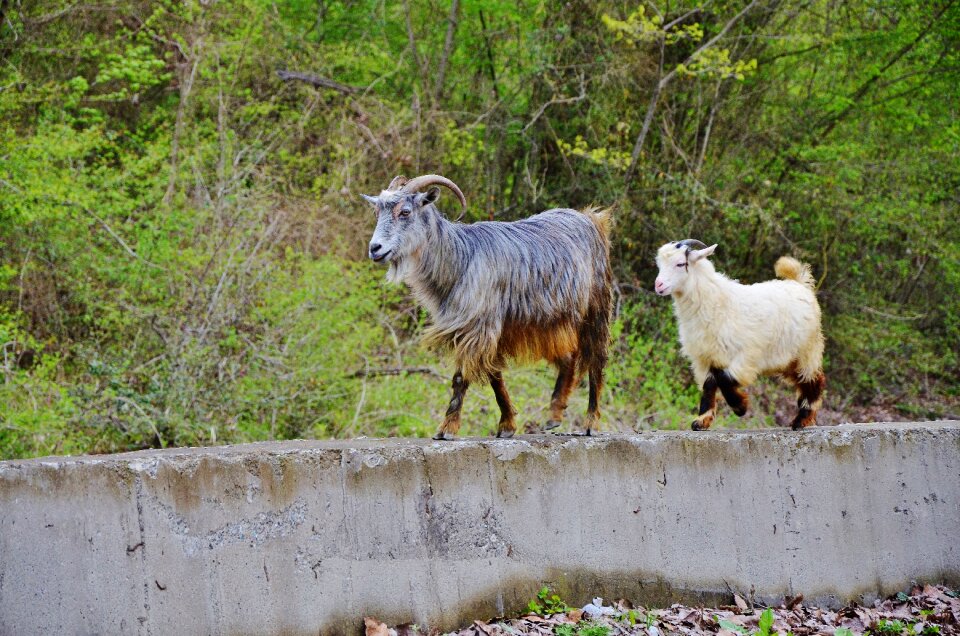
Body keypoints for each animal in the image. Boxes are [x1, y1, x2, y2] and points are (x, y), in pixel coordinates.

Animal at [652, 241, 824, 430]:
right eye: (659, 264)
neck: (715, 302)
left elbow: (724, 379)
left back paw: (802, 420)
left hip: (807, 350)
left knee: (814, 379)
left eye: (680, 264)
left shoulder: (746, 356)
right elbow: (709, 384)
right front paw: (702, 420)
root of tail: (799, 284)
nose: (658, 285)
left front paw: (740, 407)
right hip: (788, 359)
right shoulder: (706, 356)